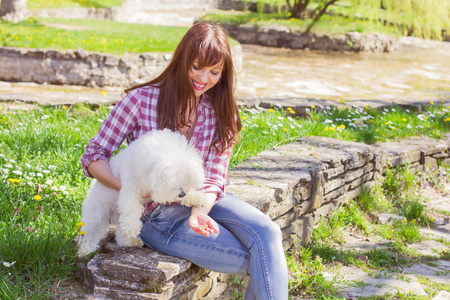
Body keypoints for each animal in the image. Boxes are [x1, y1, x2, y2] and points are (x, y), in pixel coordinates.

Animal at [78, 128, 207, 255]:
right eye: (172, 179)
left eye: (187, 177)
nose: (182, 194)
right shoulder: (129, 190)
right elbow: (132, 207)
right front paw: (133, 227)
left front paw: (195, 197)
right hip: (97, 213)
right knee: (89, 232)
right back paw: (84, 249)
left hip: (117, 216)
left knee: (120, 231)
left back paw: (130, 241)